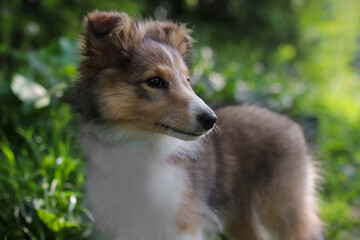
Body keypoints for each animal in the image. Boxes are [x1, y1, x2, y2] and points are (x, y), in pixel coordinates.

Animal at [64, 10, 324, 239]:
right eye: (155, 81)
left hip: (284, 208)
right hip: (240, 216)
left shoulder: (182, 224)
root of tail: (289, 121)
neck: (142, 150)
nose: (211, 119)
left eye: (187, 80)